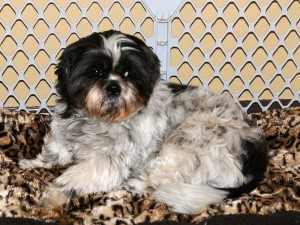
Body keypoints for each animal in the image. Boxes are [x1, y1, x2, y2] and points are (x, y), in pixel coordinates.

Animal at [19, 29, 268, 214]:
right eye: (97, 72)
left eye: (128, 74)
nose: (114, 87)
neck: (98, 119)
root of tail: (256, 161)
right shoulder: (62, 132)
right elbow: (54, 153)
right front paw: (32, 163)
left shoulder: (108, 161)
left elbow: (74, 176)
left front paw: (53, 195)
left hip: (184, 144)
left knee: (158, 182)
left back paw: (135, 184)